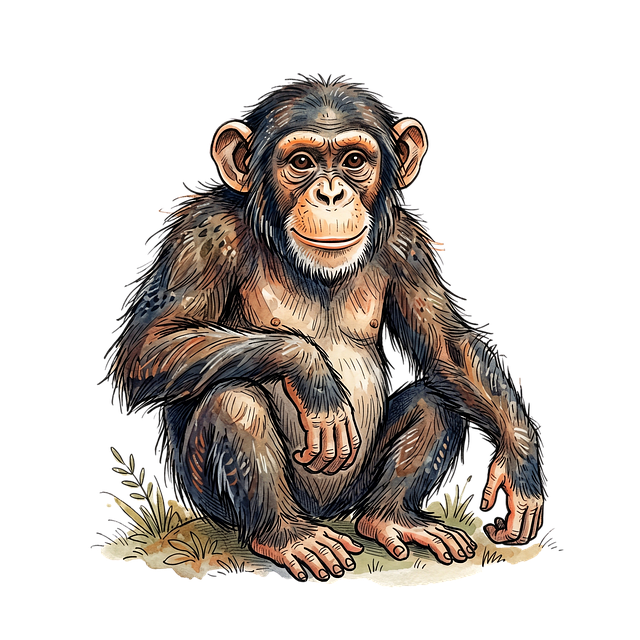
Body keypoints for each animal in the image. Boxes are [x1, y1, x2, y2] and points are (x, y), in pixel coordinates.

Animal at [111, 77, 544, 582]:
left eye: (354, 161)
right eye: (301, 162)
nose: (332, 194)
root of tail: (328, 514)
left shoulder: (409, 247)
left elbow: (447, 348)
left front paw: (520, 466)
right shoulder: (202, 236)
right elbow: (149, 345)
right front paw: (313, 375)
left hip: (356, 491)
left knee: (437, 400)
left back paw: (391, 518)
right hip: (216, 499)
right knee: (234, 400)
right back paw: (287, 537)